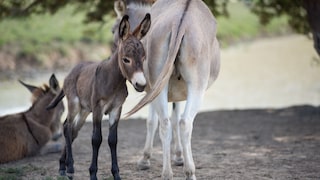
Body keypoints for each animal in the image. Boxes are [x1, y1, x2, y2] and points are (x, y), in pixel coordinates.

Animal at [46, 14, 151, 180]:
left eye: (144, 57)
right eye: (126, 59)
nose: (140, 84)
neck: (113, 81)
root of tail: (73, 69)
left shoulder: (116, 109)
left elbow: (113, 140)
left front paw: (116, 174)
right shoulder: (98, 108)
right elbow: (96, 139)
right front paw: (93, 173)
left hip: (84, 110)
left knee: (72, 129)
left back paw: (63, 166)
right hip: (74, 104)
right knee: (67, 127)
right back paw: (70, 168)